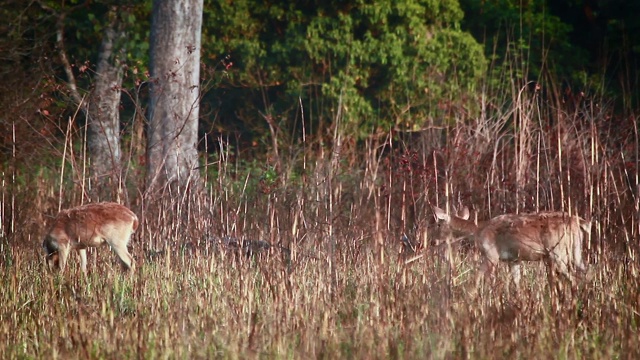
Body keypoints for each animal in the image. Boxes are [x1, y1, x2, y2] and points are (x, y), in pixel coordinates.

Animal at [432, 204, 592, 292]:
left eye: (439, 223)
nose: (435, 239)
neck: (478, 232)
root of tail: (578, 222)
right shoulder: (514, 259)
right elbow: (517, 283)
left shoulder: (491, 255)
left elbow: (480, 278)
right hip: (575, 251)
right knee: (586, 272)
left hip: (558, 252)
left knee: (573, 279)